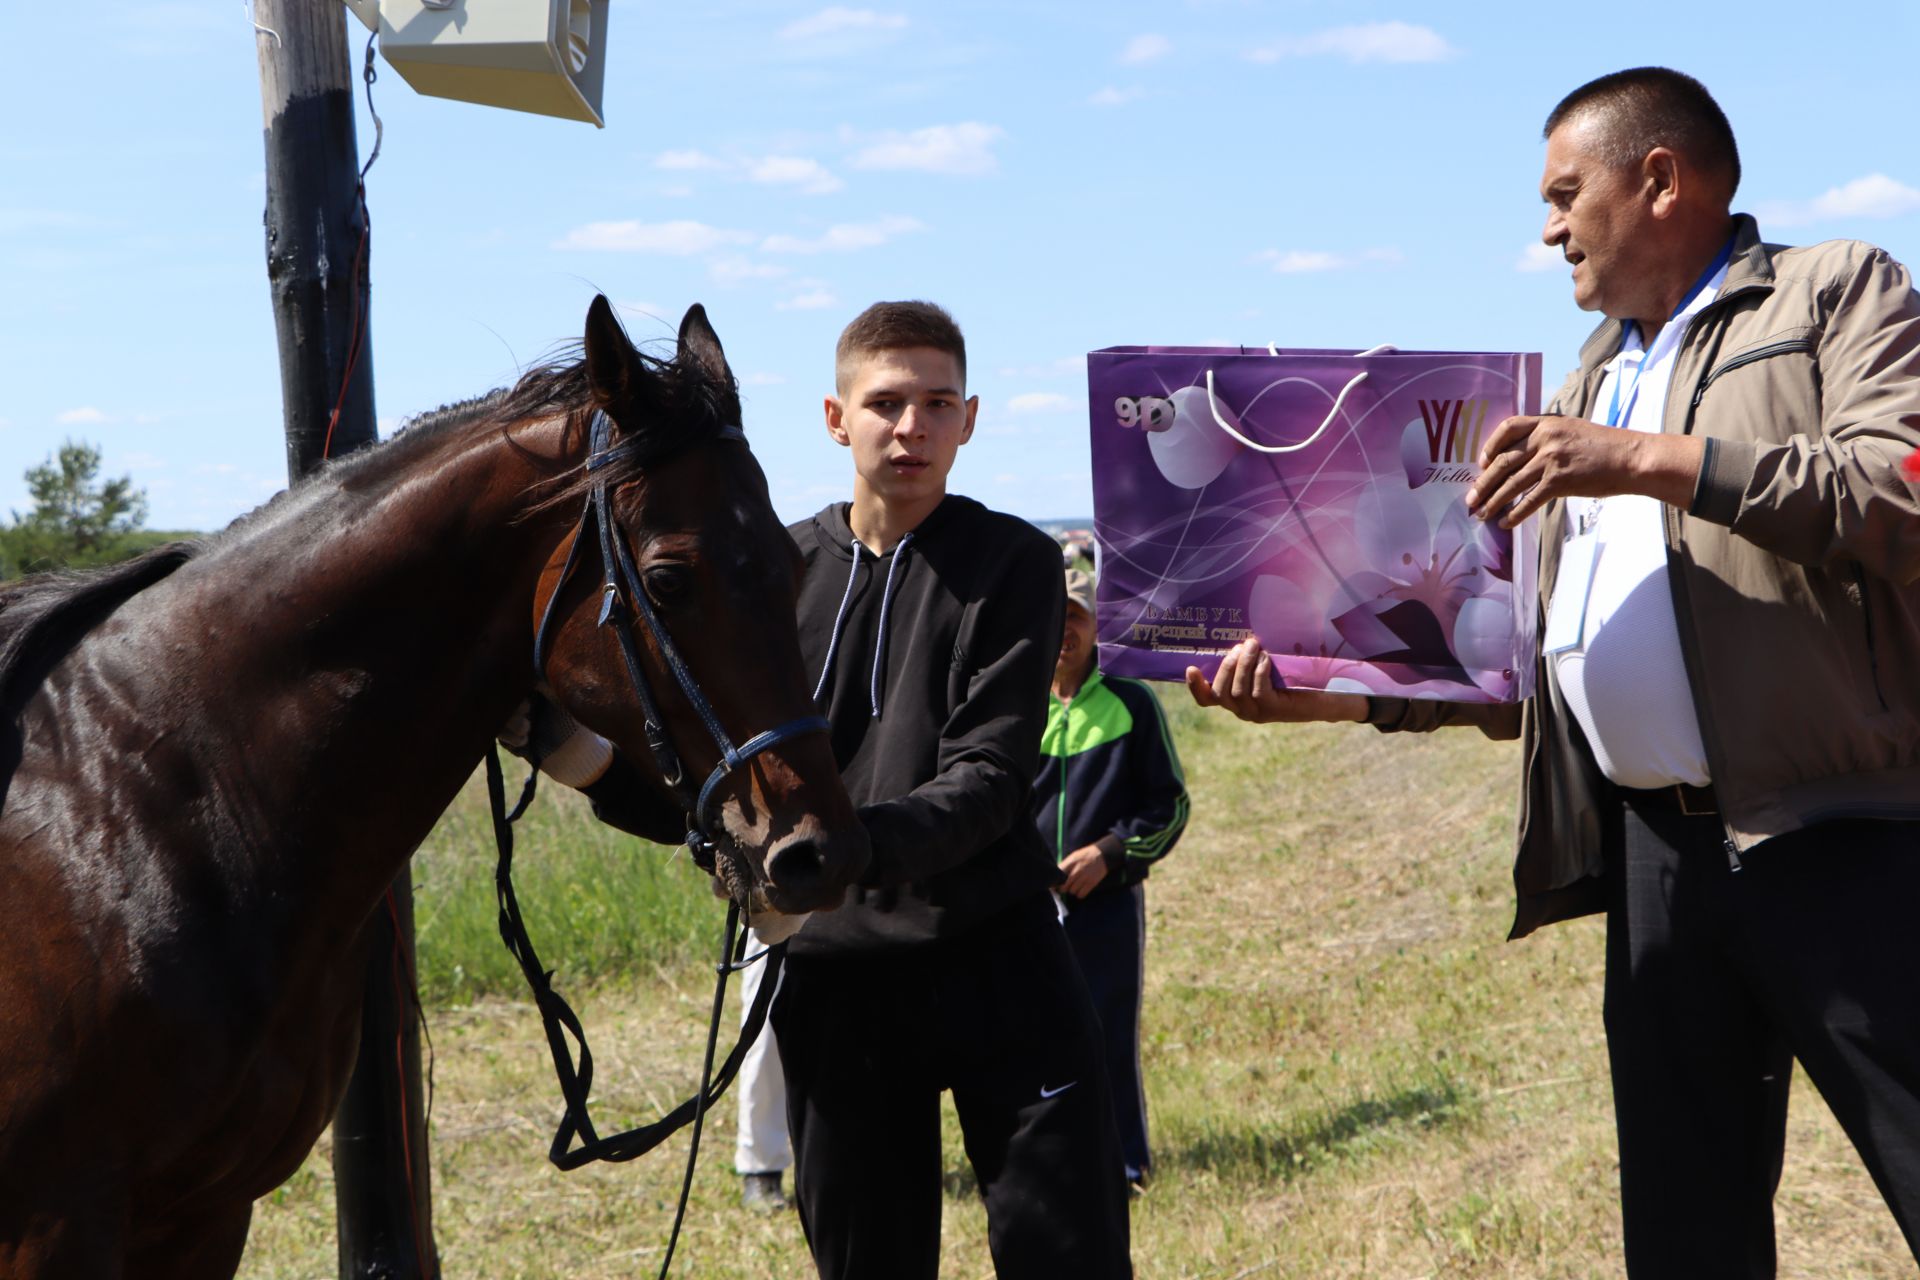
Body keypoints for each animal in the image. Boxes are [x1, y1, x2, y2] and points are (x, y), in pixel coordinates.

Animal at [0, 297, 864, 1274]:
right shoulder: (56, 1226)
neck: (145, 805)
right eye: (670, 579)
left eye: (793, 565)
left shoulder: (206, 1216)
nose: (818, 854)